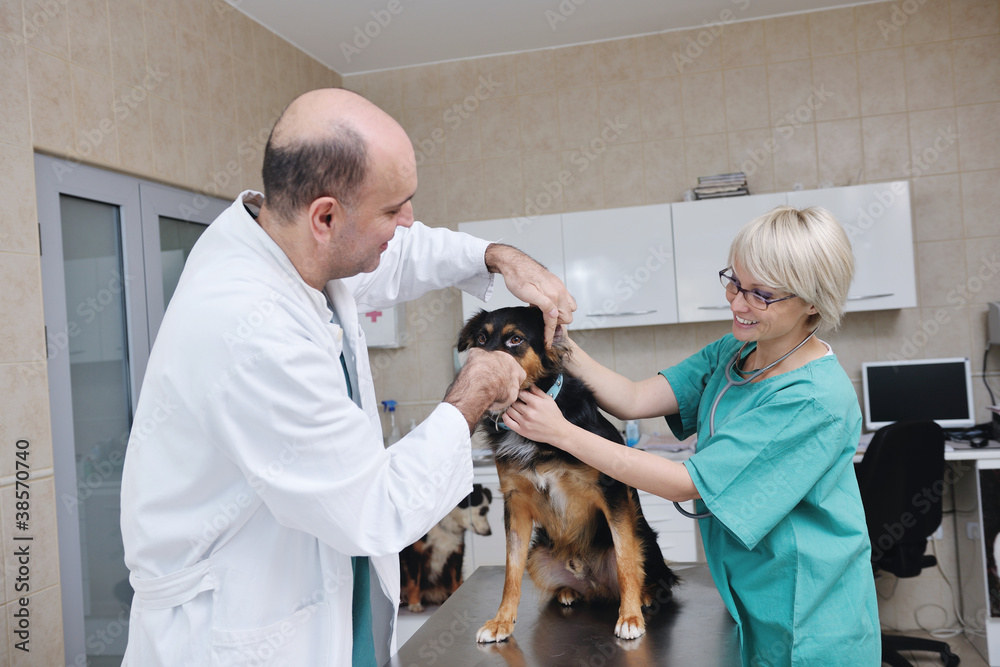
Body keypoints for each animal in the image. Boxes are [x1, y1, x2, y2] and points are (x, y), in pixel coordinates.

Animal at [456, 308, 676, 640]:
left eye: (515, 340)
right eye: (481, 339)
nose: (481, 375)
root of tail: (594, 581)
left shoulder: (611, 490)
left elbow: (626, 560)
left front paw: (630, 617)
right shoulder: (515, 502)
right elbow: (511, 571)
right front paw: (501, 621)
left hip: (644, 535)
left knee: (648, 568)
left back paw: (646, 594)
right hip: (539, 554)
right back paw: (568, 592)